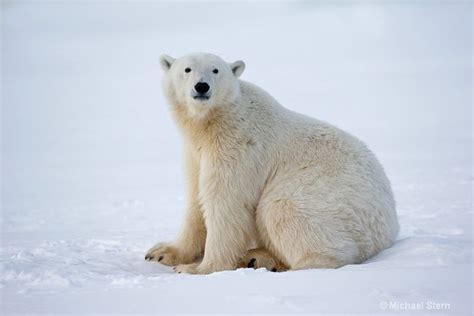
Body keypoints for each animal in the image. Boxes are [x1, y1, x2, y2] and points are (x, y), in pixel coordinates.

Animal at [146, 52, 398, 274]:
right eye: (187, 69)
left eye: (216, 70)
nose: (201, 86)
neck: (213, 123)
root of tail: (390, 227)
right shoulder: (196, 153)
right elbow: (196, 199)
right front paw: (161, 252)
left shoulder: (239, 146)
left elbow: (226, 204)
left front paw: (197, 268)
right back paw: (256, 257)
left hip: (330, 195)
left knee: (282, 209)